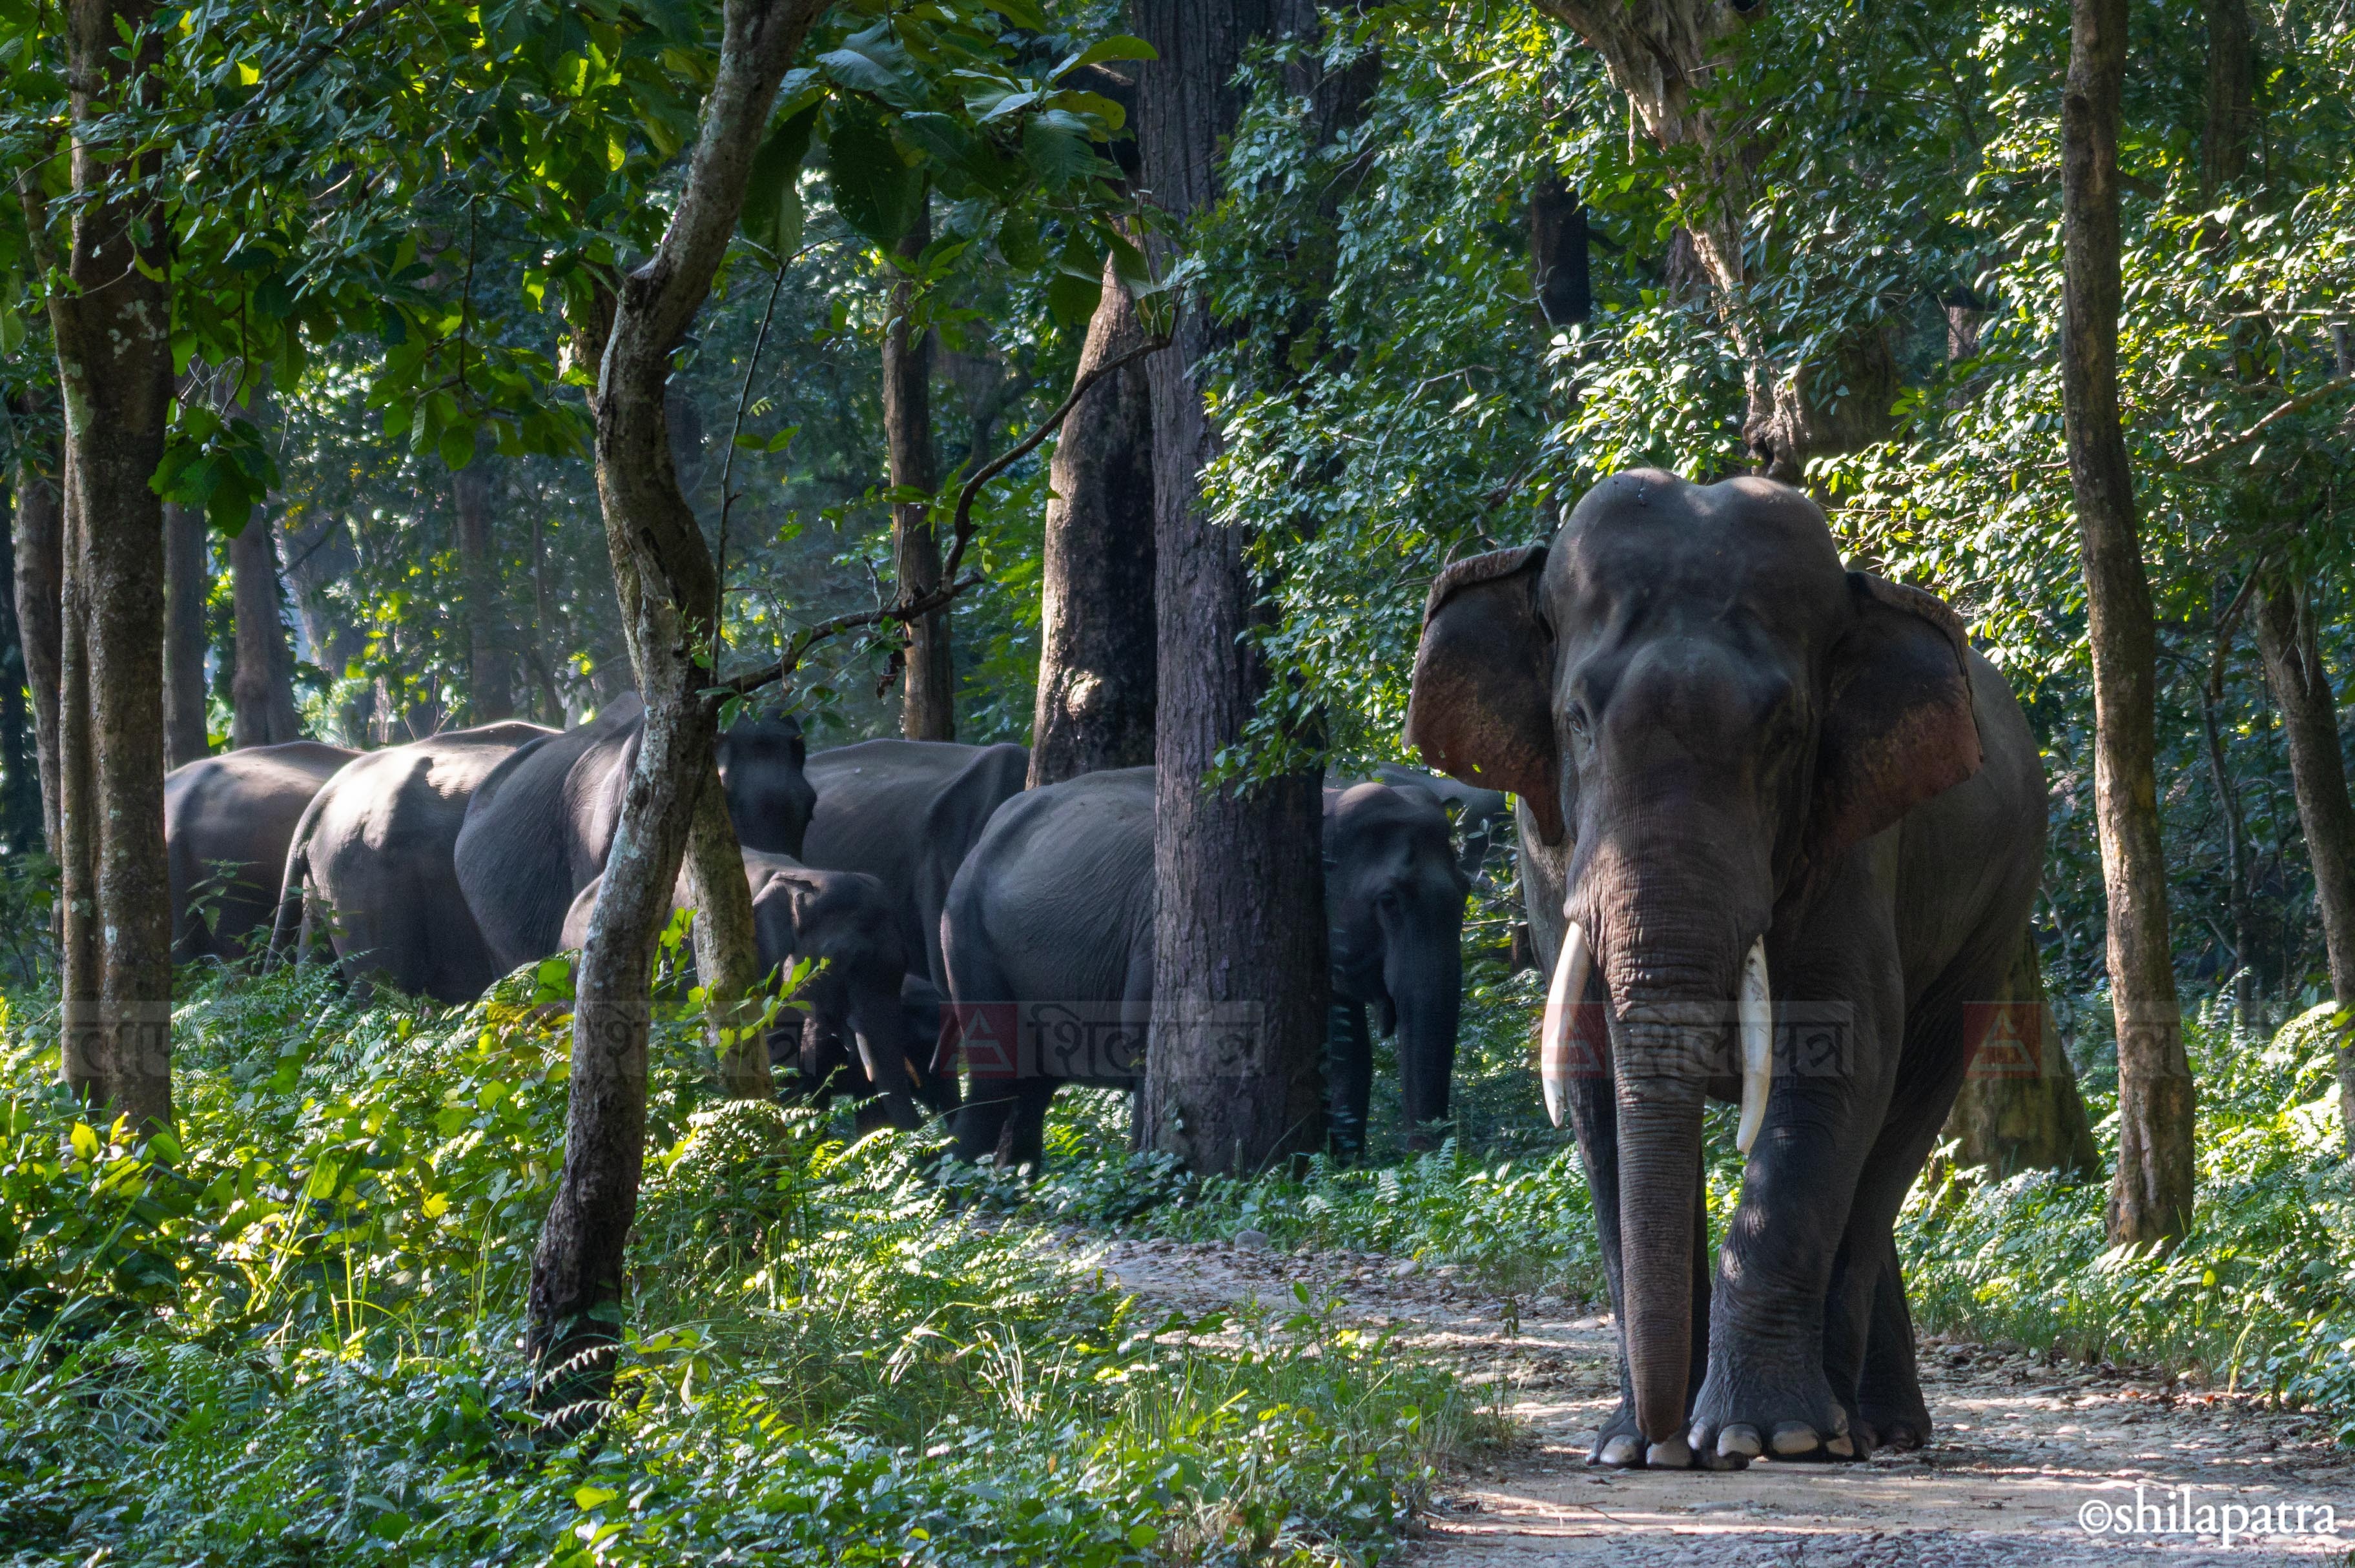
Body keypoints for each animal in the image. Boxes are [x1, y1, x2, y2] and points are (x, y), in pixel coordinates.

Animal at [937, 766, 1469, 1170]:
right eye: (1389, 900)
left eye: (1464, 893)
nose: (1423, 1159)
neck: (1326, 798)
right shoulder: (1166, 929)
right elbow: (1146, 1040)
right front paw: (1148, 1169)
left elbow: (1346, 1054)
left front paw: (1340, 1170)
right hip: (966, 937)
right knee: (997, 1077)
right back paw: (962, 1195)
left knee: (1032, 1087)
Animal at [1405, 469, 2043, 1470]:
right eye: (1575, 722)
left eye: (1784, 733)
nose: (1669, 1442)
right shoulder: (1545, 850)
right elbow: (1594, 1088)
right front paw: (1631, 1446)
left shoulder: (1851, 844)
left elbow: (1835, 1066)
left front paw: (1763, 1436)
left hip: (1993, 917)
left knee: (1896, 1131)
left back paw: (1857, 1428)